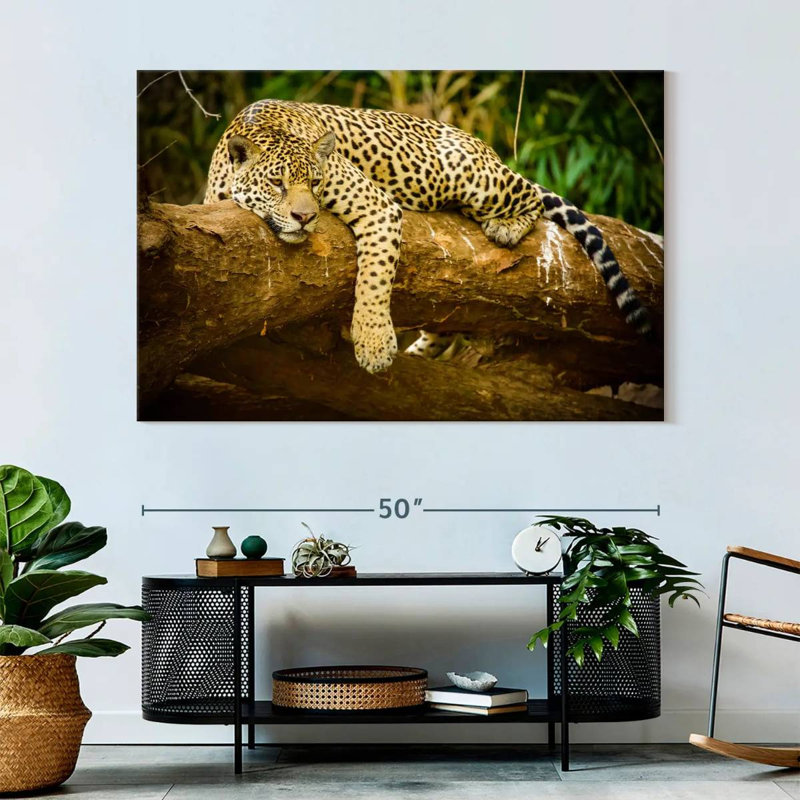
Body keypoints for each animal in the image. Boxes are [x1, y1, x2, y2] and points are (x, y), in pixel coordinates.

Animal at [204, 99, 652, 373]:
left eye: (315, 182)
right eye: (277, 183)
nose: (305, 216)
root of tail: (482, 144)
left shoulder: (378, 206)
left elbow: (373, 279)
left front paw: (373, 344)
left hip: (470, 176)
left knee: (529, 193)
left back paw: (505, 225)